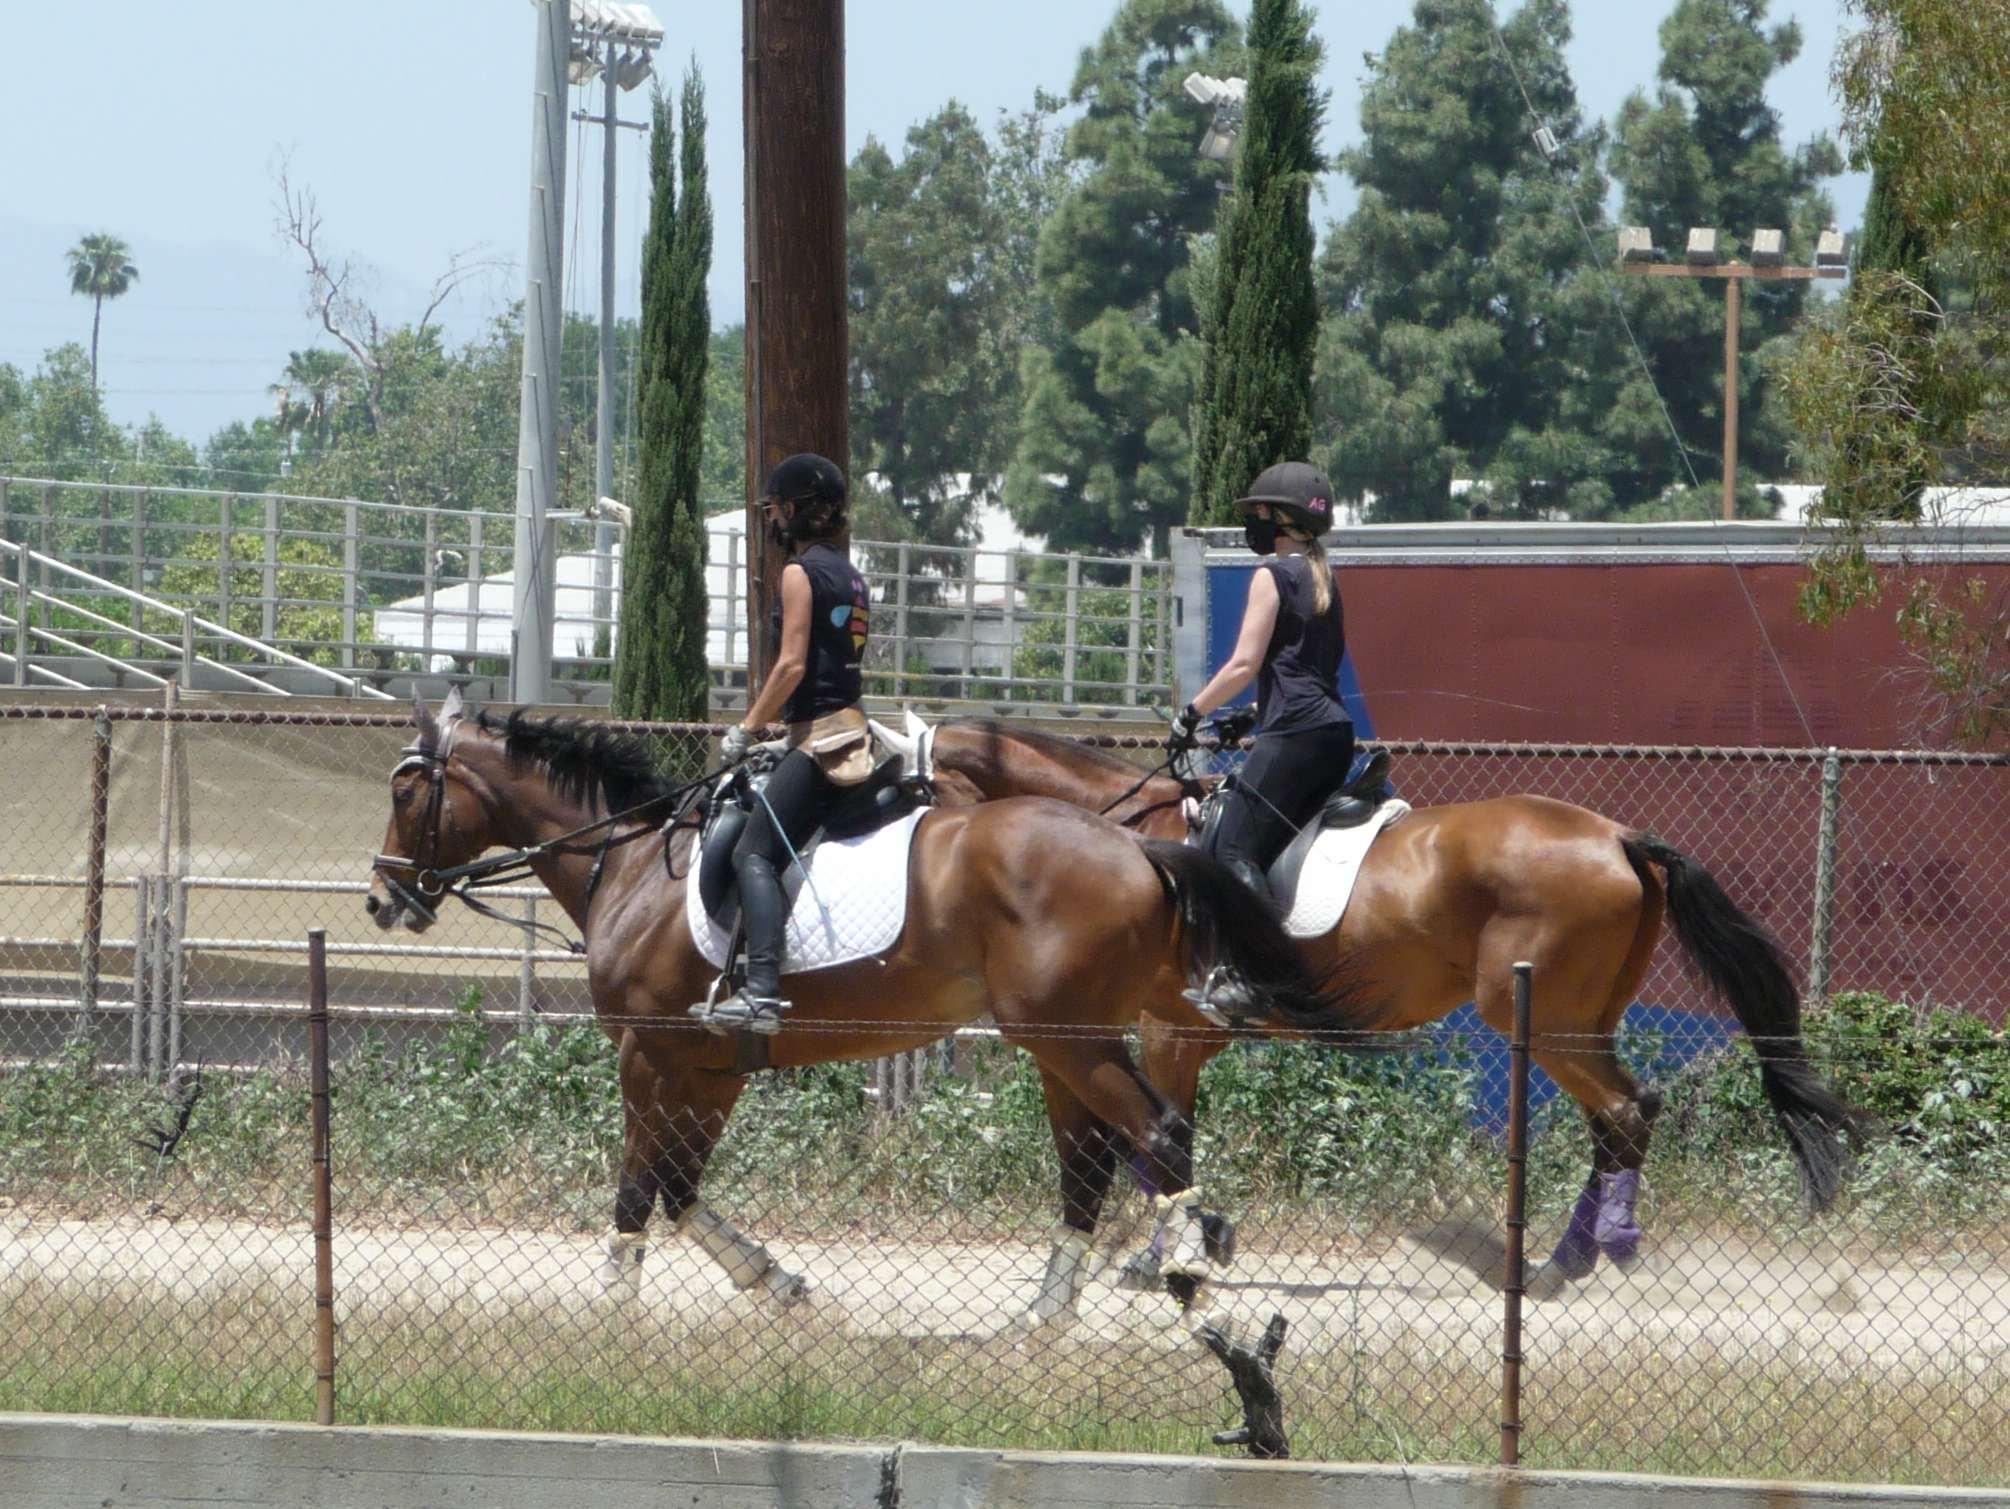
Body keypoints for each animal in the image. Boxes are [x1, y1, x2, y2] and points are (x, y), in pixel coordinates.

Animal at [928, 727, 1865, 1294]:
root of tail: (1619, 836)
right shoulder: (1175, 1038)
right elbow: (1158, 1140)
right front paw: (1183, 1245)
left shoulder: (1165, 1030)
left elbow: (1153, 1143)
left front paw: (1165, 1256)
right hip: (1581, 1018)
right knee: (1620, 1117)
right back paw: (1564, 1260)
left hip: (1536, 1016)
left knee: (1627, 1110)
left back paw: (1591, 1255)